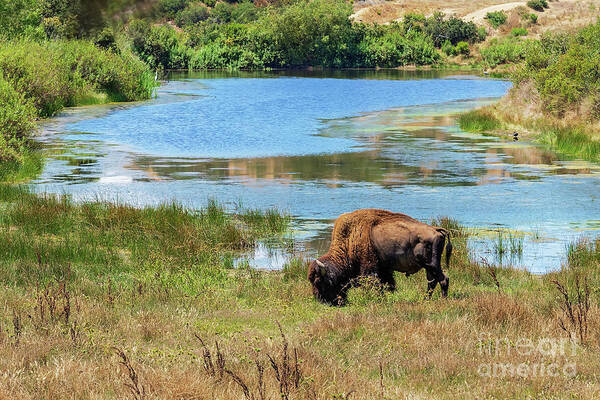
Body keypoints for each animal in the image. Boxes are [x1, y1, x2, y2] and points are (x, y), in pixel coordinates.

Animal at [310, 208, 450, 304]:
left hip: (432, 265)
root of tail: (437, 230)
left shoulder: (370, 268)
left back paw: (442, 300)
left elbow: (376, 284)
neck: (349, 240)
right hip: (428, 267)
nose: (320, 300)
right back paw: (425, 299)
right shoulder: (384, 269)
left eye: (319, 282)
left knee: (443, 279)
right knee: (432, 282)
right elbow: (389, 283)